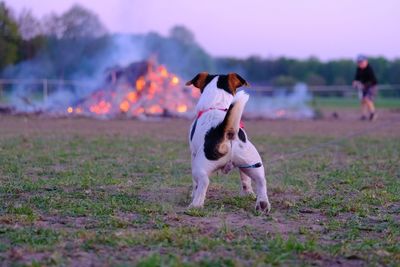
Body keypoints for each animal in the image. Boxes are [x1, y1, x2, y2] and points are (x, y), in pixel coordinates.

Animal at [186, 71, 270, 214]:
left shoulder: (193, 154)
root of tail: (227, 132)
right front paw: (248, 193)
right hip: (253, 164)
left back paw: (195, 205)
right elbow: (245, 179)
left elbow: (195, 184)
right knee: (261, 181)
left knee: (204, 182)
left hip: (199, 167)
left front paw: (193, 194)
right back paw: (262, 204)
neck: (217, 105)